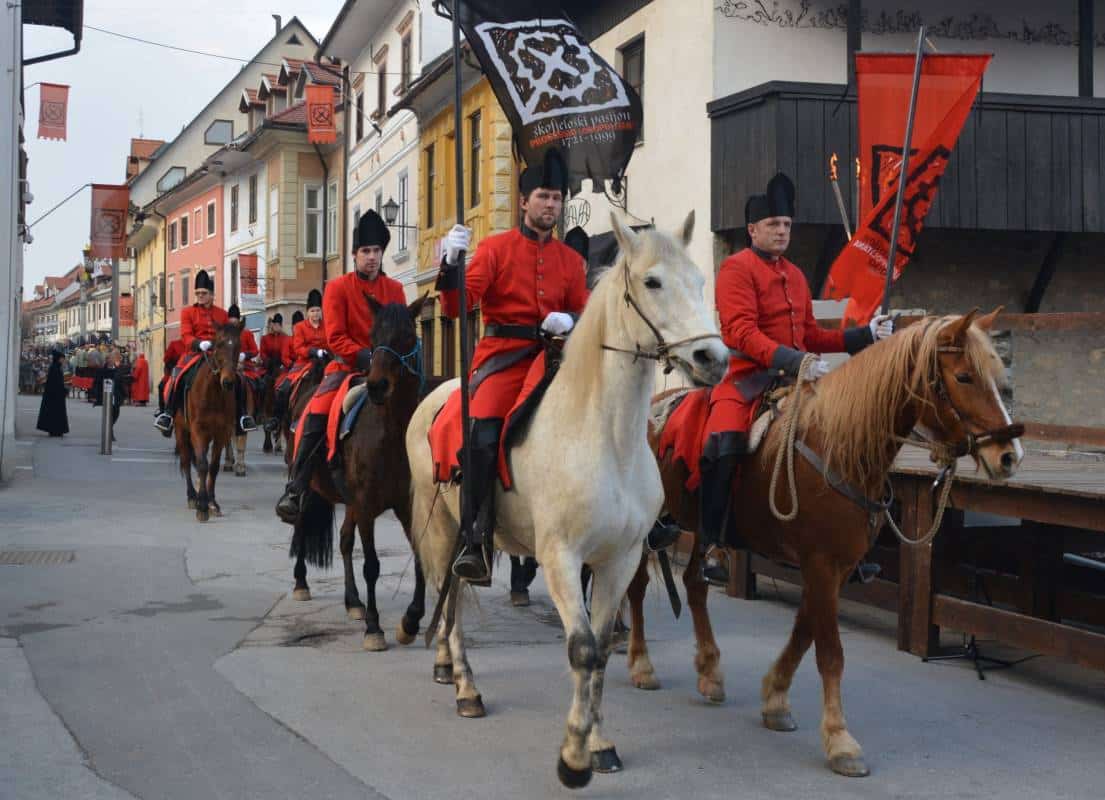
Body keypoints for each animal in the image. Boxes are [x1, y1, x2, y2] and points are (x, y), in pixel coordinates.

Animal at [174, 321, 244, 522]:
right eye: (218, 344)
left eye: (238, 346)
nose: (228, 382)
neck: (213, 393)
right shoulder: (198, 431)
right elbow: (202, 465)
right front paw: (202, 507)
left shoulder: (221, 433)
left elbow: (212, 467)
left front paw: (212, 502)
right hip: (182, 431)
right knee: (187, 460)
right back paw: (192, 496)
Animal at [289, 297, 434, 652]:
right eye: (373, 335)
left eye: (407, 336)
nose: (377, 385)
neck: (393, 433)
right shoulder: (367, 505)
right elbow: (371, 565)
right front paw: (374, 627)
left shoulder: (406, 505)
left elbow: (419, 557)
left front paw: (410, 621)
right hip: (312, 489)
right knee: (301, 525)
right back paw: (301, 582)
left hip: (350, 502)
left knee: (343, 540)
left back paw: (353, 601)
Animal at [406, 212, 730, 789]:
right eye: (652, 282)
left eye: (699, 281)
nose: (712, 359)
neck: (606, 434)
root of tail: (439, 394)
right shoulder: (560, 557)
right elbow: (581, 648)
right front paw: (573, 757)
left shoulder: (619, 560)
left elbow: (599, 649)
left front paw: (597, 743)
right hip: (443, 528)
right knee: (453, 598)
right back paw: (465, 684)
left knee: (453, 594)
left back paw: (447, 666)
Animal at [627, 308, 1024, 778]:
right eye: (964, 376)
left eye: (998, 376)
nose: (1009, 456)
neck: (840, 444)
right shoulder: (819, 563)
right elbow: (830, 650)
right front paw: (839, 740)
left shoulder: (832, 567)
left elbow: (804, 632)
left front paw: (775, 698)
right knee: (635, 589)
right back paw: (640, 663)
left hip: (703, 528)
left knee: (694, 583)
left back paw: (709, 670)